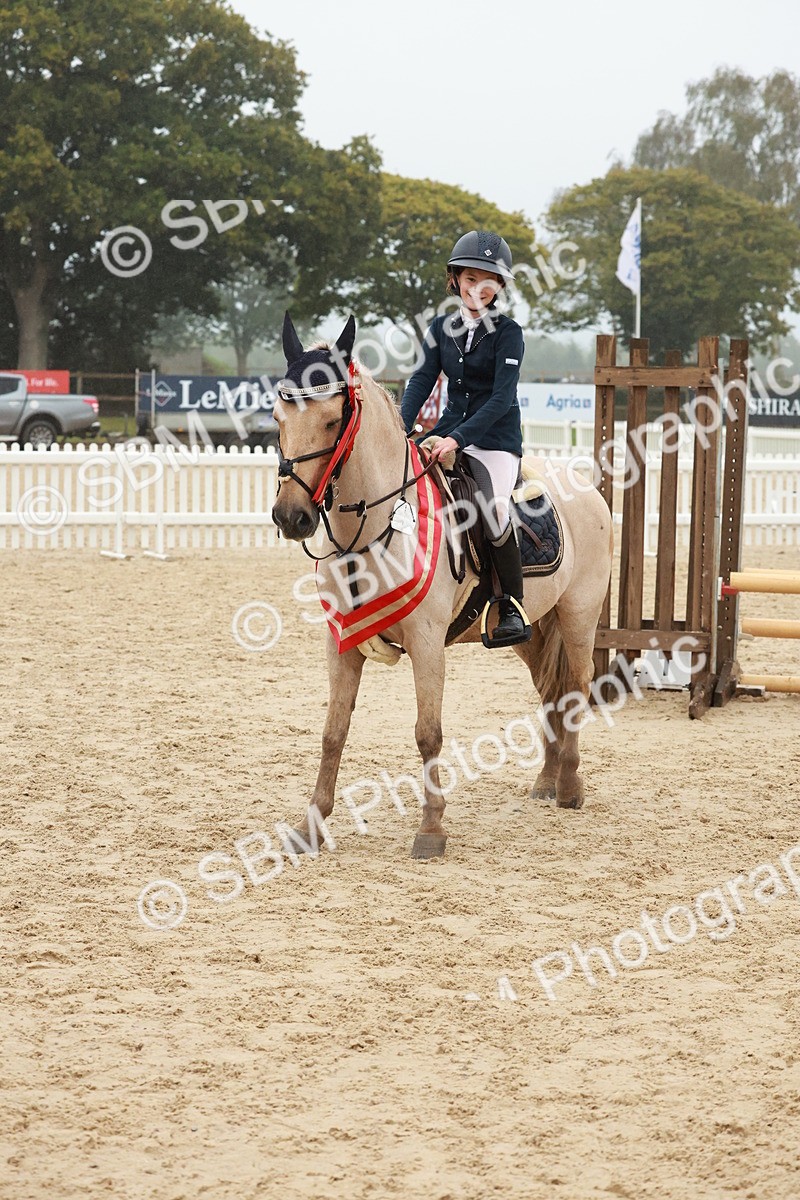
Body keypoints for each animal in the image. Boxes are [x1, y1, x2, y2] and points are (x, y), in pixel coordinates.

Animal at [272, 314, 614, 858]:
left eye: (331, 420)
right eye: (279, 418)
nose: (291, 517)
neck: (372, 529)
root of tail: (585, 487)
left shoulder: (428, 642)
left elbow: (427, 733)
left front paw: (431, 828)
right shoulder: (340, 643)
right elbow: (332, 733)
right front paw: (312, 827)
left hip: (579, 615)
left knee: (577, 687)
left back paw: (569, 787)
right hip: (533, 628)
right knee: (550, 690)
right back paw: (545, 781)